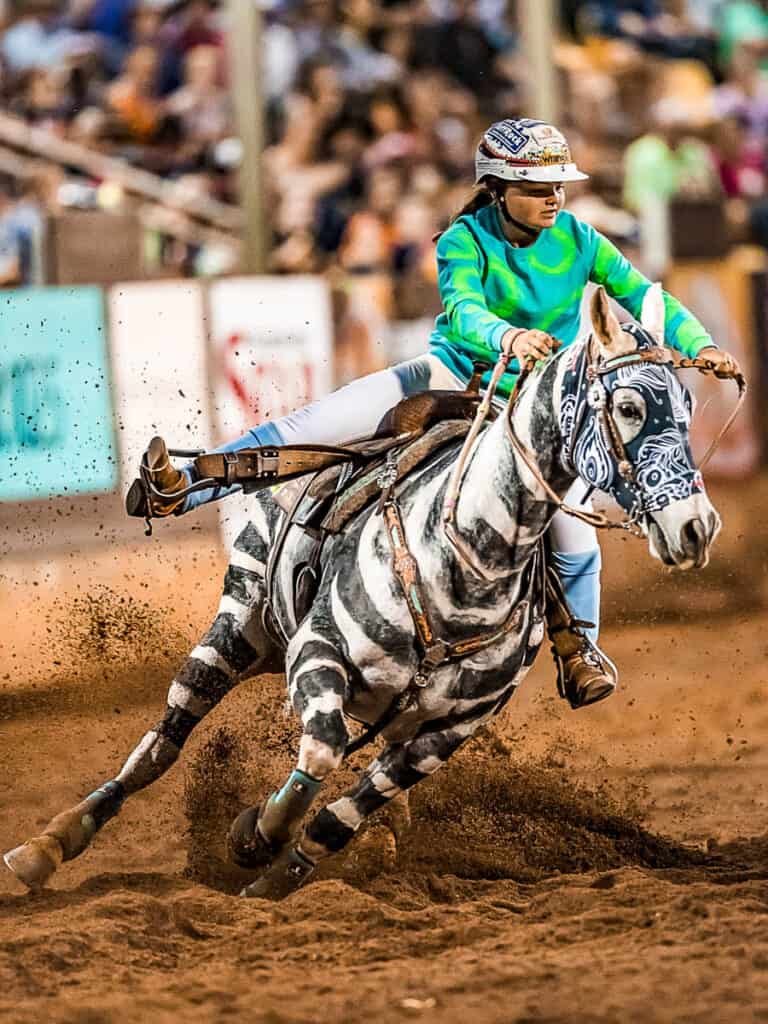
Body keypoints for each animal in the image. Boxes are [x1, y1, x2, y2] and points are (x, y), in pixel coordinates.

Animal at [4, 284, 720, 901]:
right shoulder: (318, 653)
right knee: (162, 744)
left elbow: (340, 816)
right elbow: (319, 750)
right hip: (237, 627)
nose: (696, 526)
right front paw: (254, 835)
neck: (460, 569)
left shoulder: (445, 733)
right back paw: (48, 845)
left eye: (688, 409)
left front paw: (277, 874)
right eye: (628, 407)